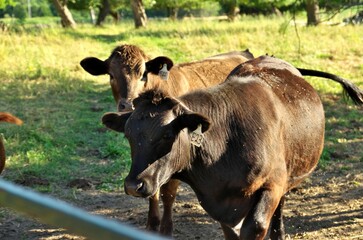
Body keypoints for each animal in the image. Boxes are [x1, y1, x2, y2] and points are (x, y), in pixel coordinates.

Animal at [101, 55, 363, 238]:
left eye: (167, 134)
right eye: (128, 134)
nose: (134, 185)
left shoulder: (271, 185)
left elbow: (255, 226)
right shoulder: (221, 205)